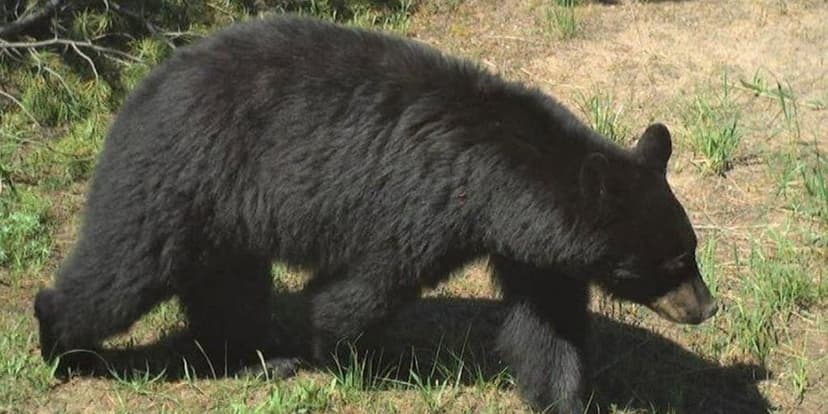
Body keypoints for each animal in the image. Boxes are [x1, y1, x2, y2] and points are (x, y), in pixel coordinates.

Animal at [33, 16, 718, 413]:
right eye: (672, 261)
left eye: (691, 251)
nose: (706, 307)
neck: (500, 180)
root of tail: (144, 86)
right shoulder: (419, 208)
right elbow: (361, 289)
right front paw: (347, 358)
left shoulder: (531, 246)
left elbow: (548, 324)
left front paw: (564, 397)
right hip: (183, 176)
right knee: (123, 271)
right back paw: (64, 346)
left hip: (224, 215)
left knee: (228, 286)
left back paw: (254, 357)